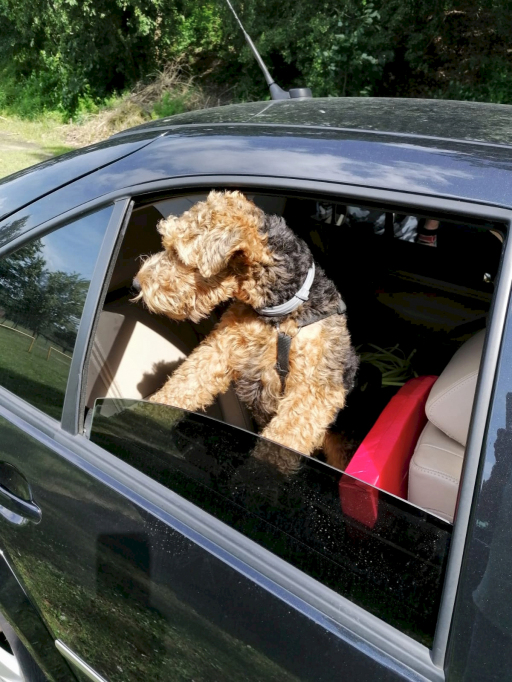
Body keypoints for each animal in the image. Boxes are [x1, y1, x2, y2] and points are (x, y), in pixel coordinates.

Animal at [132, 189, 358, 470]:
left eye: (178, 254)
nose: (135, 284)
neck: (280, 314)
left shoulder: (314, 389)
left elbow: (280, 442)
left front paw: (257, 476)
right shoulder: (222, 346)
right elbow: (185, 383)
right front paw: (143, 417)